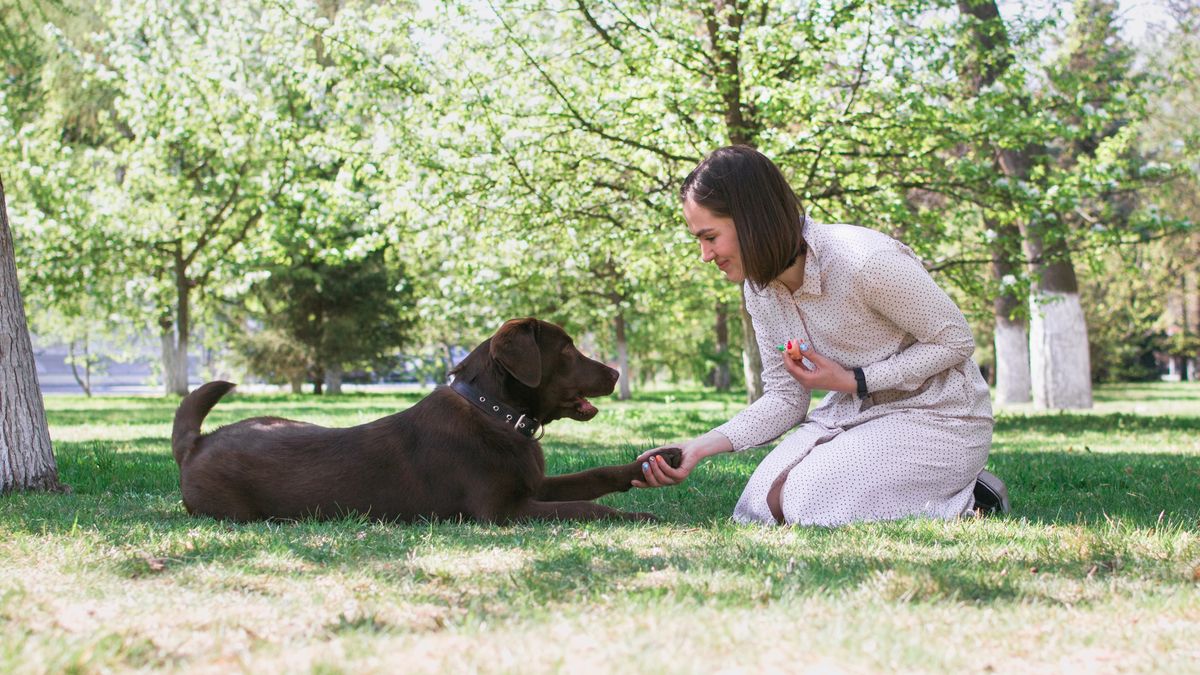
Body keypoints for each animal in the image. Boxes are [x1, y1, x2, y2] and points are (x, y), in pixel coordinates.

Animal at [170, 314, 681, 521]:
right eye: (569, 348)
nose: (615, 372)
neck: (495, 414)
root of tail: (198, 444)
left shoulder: (534, 485)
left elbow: (593, 476)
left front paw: (654, 463)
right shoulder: (504, 511)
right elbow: (587, 506)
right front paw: (636, 515)